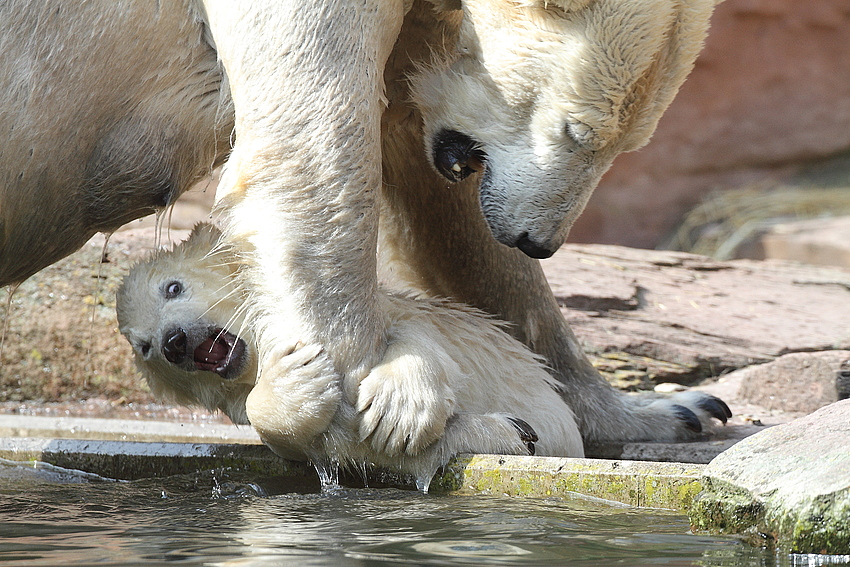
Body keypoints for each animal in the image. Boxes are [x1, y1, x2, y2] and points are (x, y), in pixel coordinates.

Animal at [1, 0, 728, 452]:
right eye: (576, 130)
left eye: (630, 142)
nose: (536, 240)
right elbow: (318, 142)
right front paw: (357, 403)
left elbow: (434, 181)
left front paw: (669, 410)